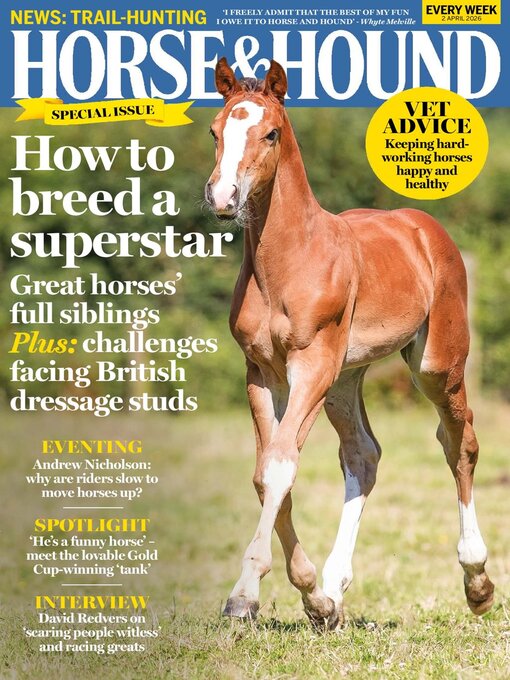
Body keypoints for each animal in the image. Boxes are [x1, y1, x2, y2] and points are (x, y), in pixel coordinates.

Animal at [204, 58, 494, 630]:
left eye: (270, 133)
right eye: (215, 131)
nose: (223, 198)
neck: (289, 262)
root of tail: (422, 226)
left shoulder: (310, 365)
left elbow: (279, 467)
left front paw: (244, 596)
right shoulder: (262, 374)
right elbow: (268, 473)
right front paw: (314, 597)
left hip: (434, 365)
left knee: (460, 442)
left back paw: (477, 581)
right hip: (344, 379)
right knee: (363, 455)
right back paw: (335, 589)